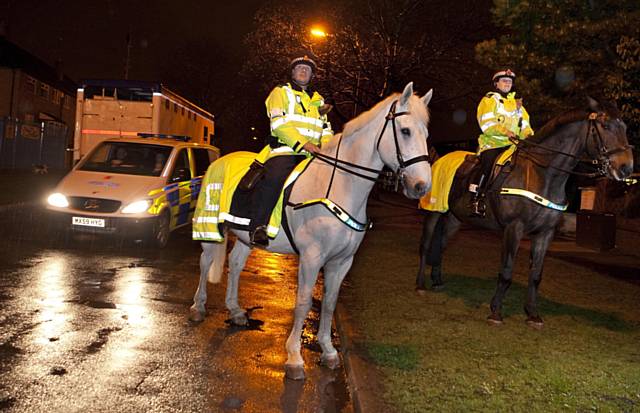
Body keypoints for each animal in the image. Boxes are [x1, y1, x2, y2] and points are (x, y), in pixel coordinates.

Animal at [188, 82, 432, 378]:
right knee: (204, 263)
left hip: (246, 237)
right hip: (210, 228)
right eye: (405, 131)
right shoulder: (312, 258)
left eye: (426, 134)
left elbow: (328, 302)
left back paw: (235, 311)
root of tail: (220, 160)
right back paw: (198, 307)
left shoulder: (342, 261)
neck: (339, 185)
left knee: (234, 265)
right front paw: (294, 356)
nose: (422, 186)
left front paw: (328, 350)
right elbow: (303, 302)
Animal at [418, 96, 632, 326]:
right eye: (605, 126)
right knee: (426, 245)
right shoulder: (514, 228)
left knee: (441, 245)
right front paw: (496, 311)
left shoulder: (545, 233)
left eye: (624, 127)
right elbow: (506, 272)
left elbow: (536, 275)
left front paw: (532, 314)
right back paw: (420, 284)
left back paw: (437, 280)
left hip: (454, 217)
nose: (626, 168)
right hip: (434, 211)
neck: (541, 174)